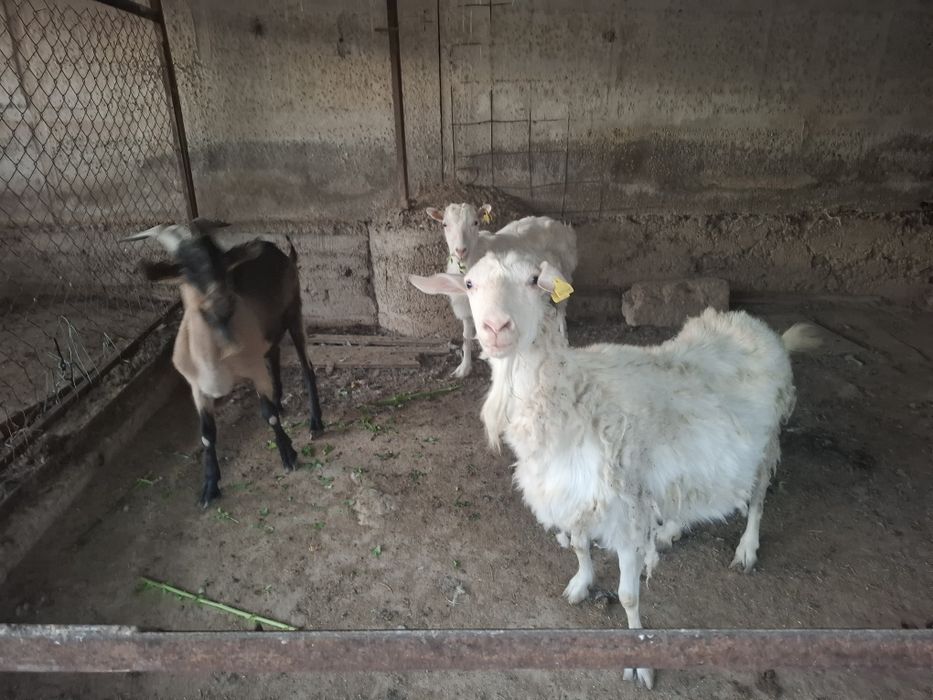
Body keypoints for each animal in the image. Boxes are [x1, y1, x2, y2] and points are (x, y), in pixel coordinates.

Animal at [123, 218, 324, 507]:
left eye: (222, 262)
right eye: (185, 269)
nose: (221, 303)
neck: (214, 359)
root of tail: (275, 249)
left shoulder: (254, 371)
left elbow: (269, 415)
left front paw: (289, 455)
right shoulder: (197, 389)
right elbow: (207, 435)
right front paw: (209, 487)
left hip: (294, 312)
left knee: (306, 368)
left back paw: (315, 423)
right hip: (269, 330)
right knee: (274, 354)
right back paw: (281, 399)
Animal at [413, 250, 819, 689]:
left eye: (534, 280)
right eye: (469, 284)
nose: (495, 327)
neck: (574, 397)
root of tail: (757, 327)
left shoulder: (626, 510)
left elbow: (627, 596)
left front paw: (639, 662)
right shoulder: (573, 493)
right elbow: (578, 545)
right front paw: (581, 582)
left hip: (766, 441)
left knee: (758, 498)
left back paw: (747, 549)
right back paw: (672, 529)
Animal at [417, 203, 577, 377]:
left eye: (475, 222)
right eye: (445, 224)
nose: (460, 250)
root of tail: (558, 224)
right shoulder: (466, 308)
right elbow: (466, 337)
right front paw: (464, 368)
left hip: (563, 274)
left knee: (561, 309)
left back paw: (564, 339)